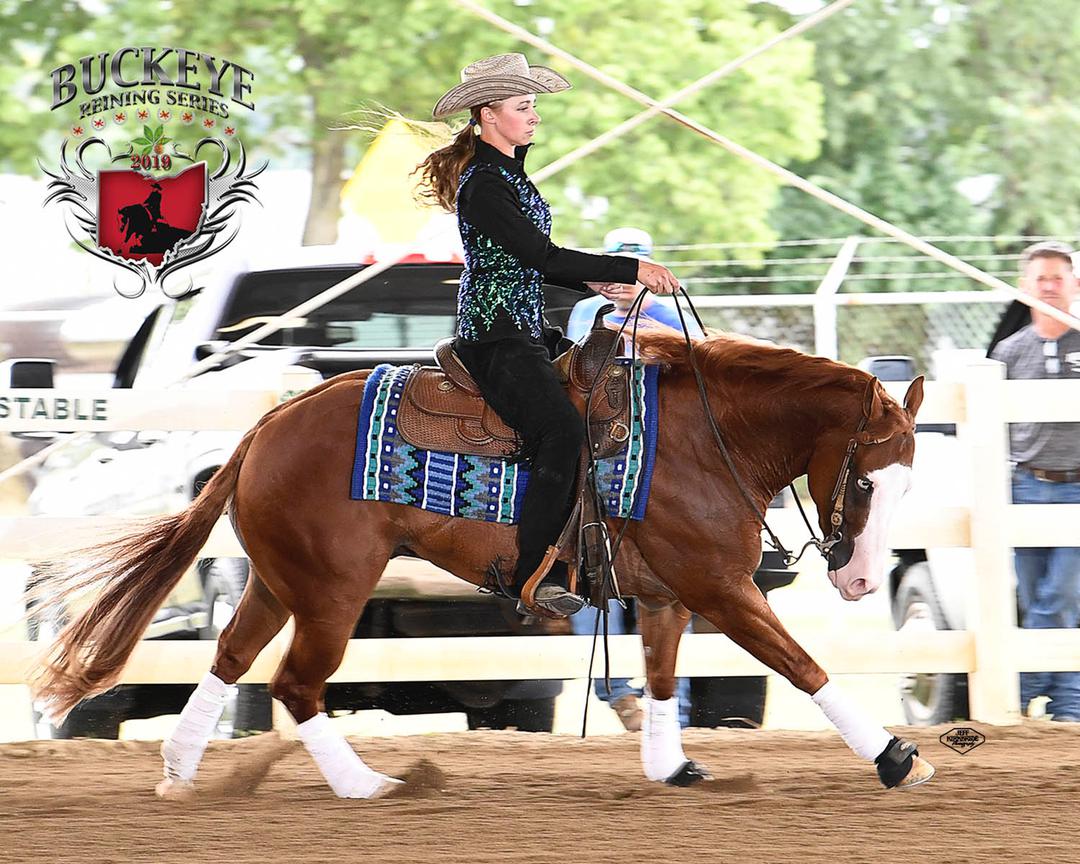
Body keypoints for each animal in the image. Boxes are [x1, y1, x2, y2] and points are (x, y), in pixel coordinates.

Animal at [30, 328, 931, 798]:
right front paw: (896, 757)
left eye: (909, 484)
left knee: (228, 657)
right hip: (330, 592)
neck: (706, 438)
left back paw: (181, 769)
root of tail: (266, 427)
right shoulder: (722, 588)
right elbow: (803, 665)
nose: (856, 579)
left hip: (281, 584)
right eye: (863, 478)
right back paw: (368, 786)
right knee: (293, 684)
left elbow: (663, 678)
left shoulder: (669, 596)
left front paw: (670, 764)